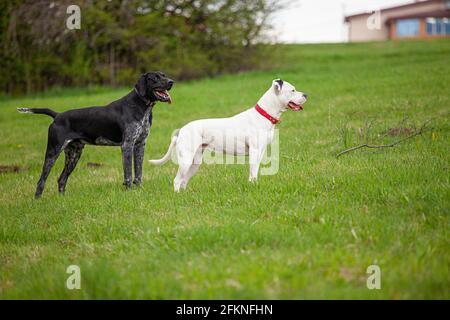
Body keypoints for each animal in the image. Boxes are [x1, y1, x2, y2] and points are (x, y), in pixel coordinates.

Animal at [17, 71, 173, 198]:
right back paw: (37, 200)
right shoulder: (127, 145)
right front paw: (129, 193)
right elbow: (128, 175)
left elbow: (138, 173)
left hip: (74, 155)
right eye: (155, 78)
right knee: (41, 181)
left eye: (164, 75)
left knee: (61, 179)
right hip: (53, 152)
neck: (141, 105)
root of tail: (57, 115)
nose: (171, 82)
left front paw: (139, 190)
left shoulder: (140, 145)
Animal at [149, 79, 308, 191]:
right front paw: (252, 186)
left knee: (183, 181)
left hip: (194, 162)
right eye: (292, 90)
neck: (264, 114)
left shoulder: (261, 151)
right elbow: (253, 171)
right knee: (177, 180)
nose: (306, 94)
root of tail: (181, 130)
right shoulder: (255, 151)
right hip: (186, 160)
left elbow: (256, 170)